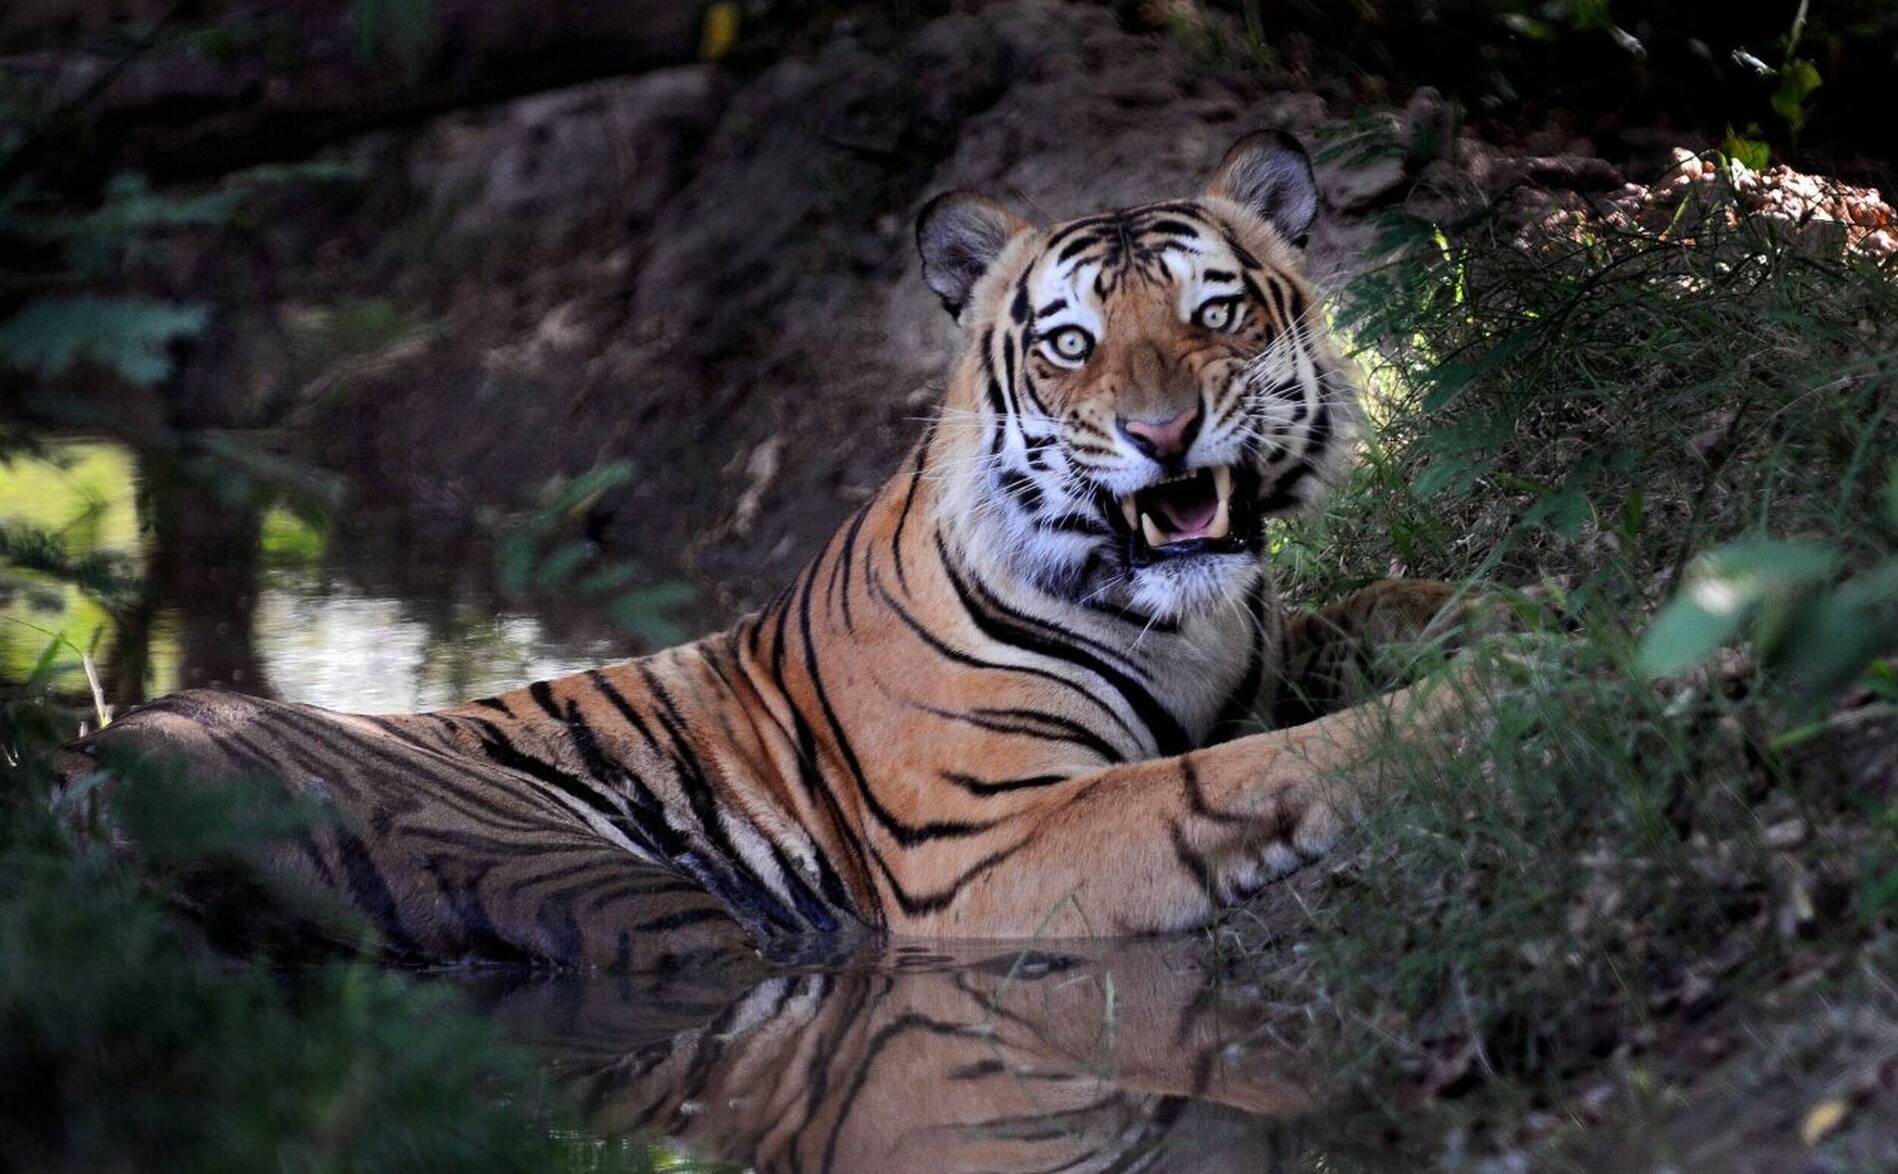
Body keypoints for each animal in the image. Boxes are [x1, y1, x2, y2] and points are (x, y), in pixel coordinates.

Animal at [63, 131, 1474, 970]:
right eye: (1070, 344)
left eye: (1214, 315)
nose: (1161, 430)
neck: (1178, 615)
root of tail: (94, 770)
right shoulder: (987, 845)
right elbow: (1242, 775)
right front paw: (1456, 710)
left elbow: (1378, 603)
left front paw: (1496, 618)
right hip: (614, 892)